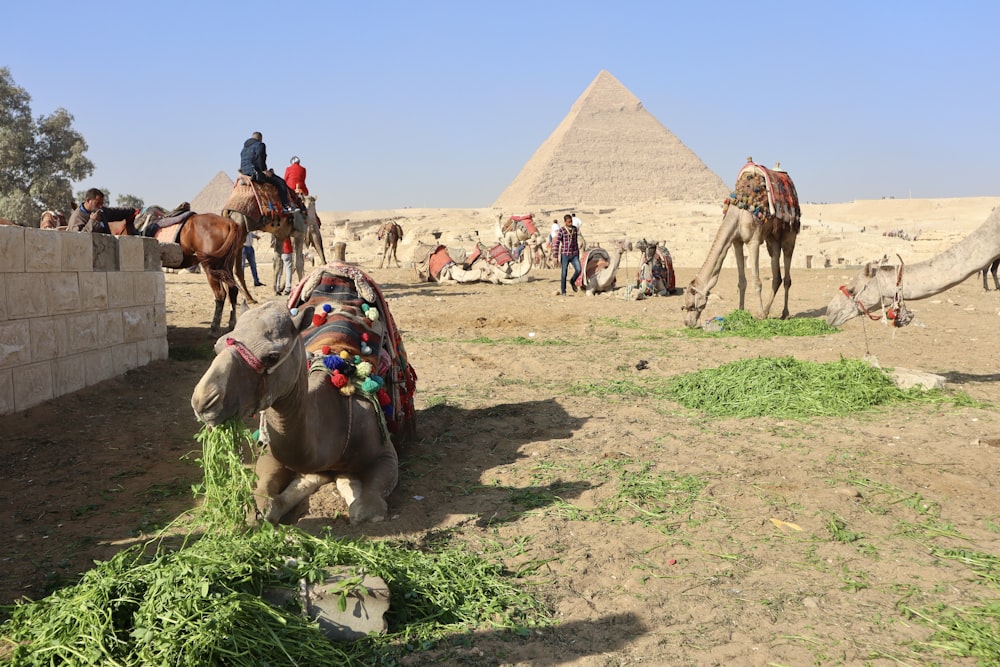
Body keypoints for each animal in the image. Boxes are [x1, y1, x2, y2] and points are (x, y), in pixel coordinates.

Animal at [191, 264, 414, 524]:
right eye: (217, 345)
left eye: (272, 357)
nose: (204, 402)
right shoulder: (270, 454)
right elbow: (264, 506)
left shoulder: (384, 453)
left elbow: (365, 509)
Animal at [680, 160, 804, 332]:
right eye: (685, 305)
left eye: (691, 304)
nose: (688, 323)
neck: (737, 214)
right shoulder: (736, 242)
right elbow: (742, 281)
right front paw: (740, 312)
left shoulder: (753, 241)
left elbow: (756, 282)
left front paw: (759, 316)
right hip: (772, 238)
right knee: (776, 275)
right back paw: (768, 311)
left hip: (789, 233)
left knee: (787, 275)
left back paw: (783, 313)